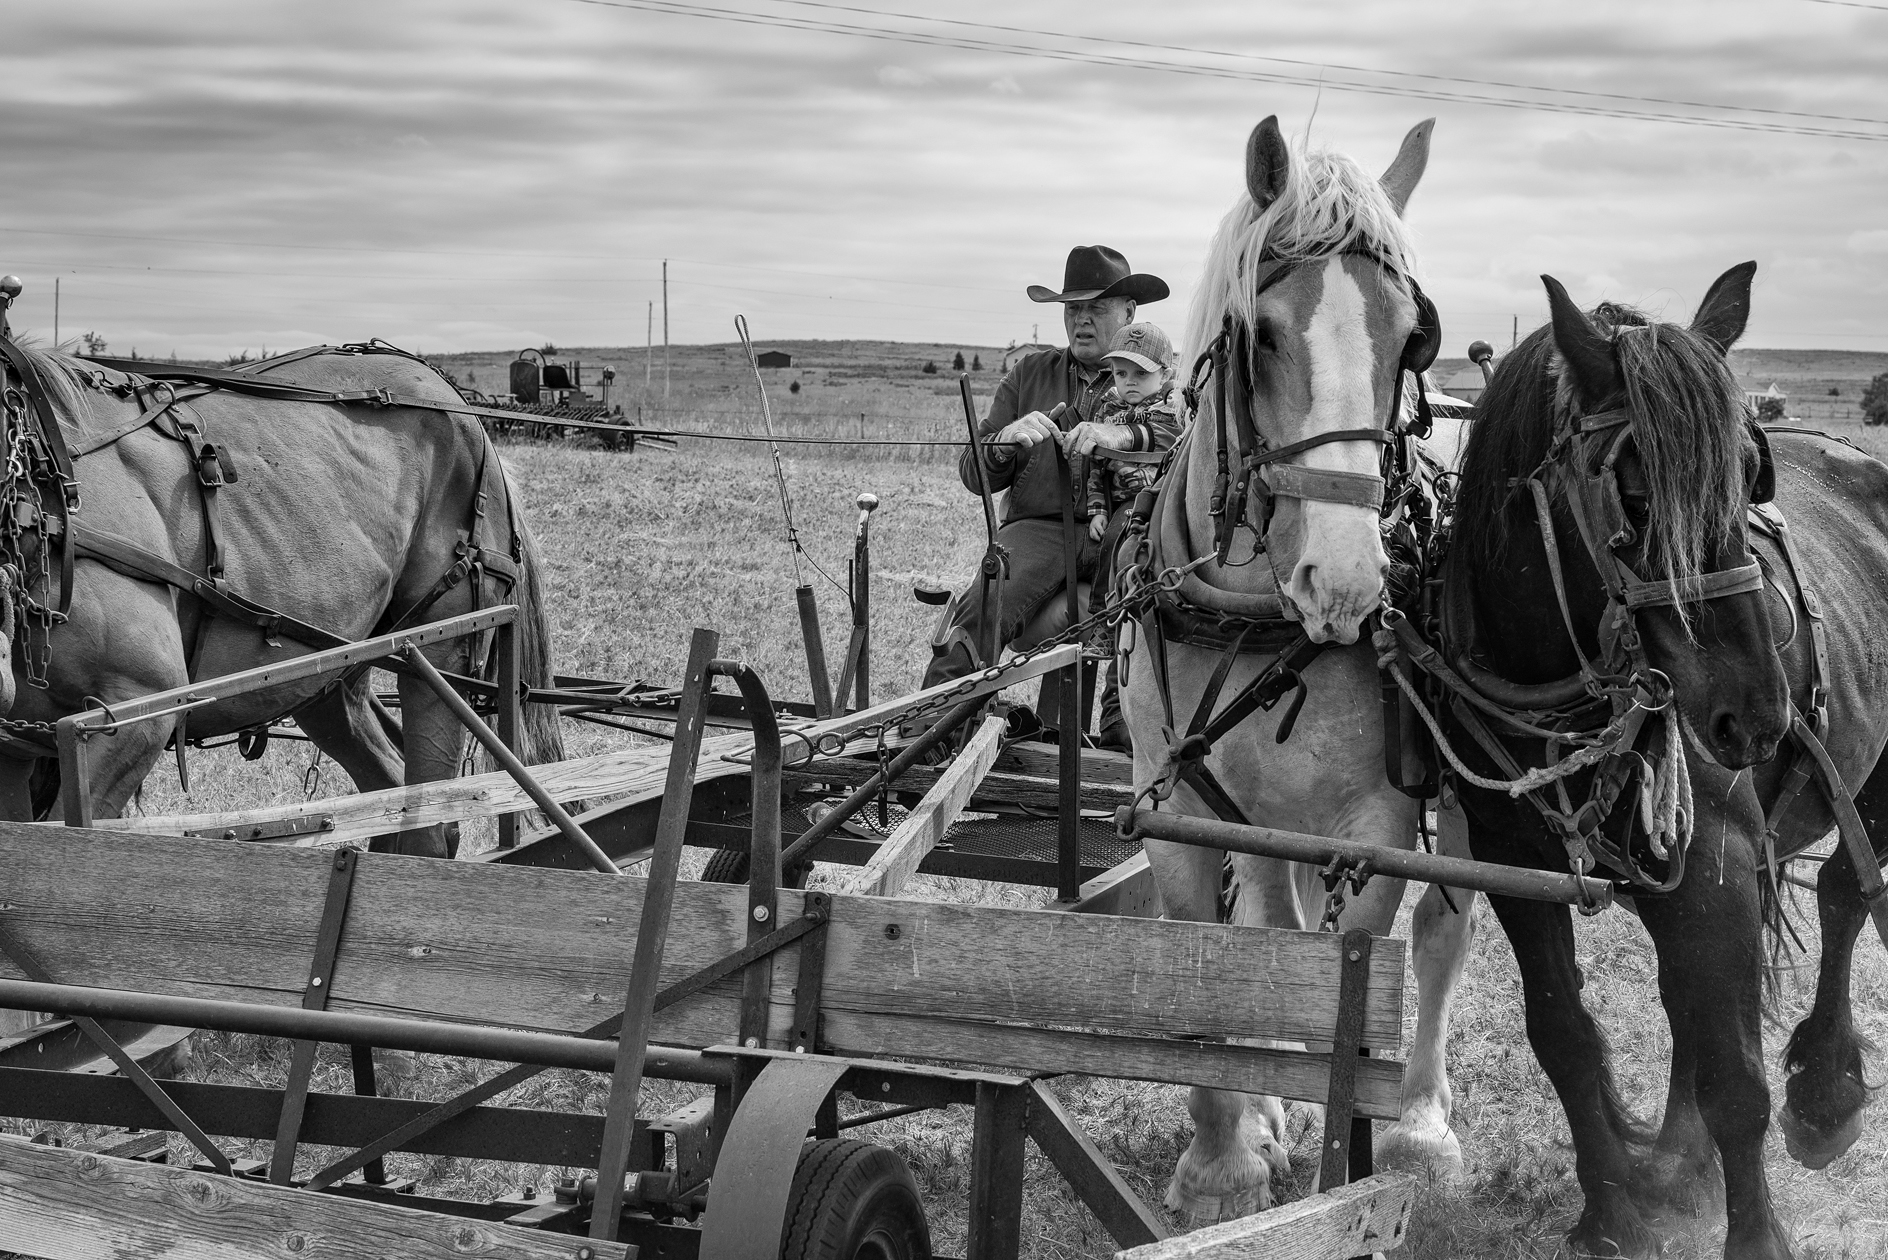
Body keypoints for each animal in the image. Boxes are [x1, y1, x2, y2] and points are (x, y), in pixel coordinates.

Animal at [0, 341, 564, 854]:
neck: (40, 490)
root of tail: (454, 398)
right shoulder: (20, 744)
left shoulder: (136, 710)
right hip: (329, 670)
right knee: (389, 792)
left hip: (441, 650)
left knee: (430, 815)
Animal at [1119, 115, 1478, 1221]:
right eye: (1263, 334)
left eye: (1409, 337)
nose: (1349, 580)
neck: (1255, 620)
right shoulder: (1178, 803)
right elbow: (1221, 960)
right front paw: (1226, 1158)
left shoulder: (1379, 823)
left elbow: (1351, 982)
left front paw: (1338, 1152)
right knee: (1276, 914)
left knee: (1445, 932)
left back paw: (1420, 1122)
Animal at [1430, 260, 1888, 1259]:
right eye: (1634, 494)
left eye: (1751, 475)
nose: (1759, 714)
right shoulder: (1516, 863)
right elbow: (1564, 1034)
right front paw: (1612, 1211)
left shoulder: (1715, 857)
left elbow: (1735, 1080)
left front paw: (1755, 1237)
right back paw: (1683, 1161)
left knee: (1844, 894)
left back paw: (1826, 1090)